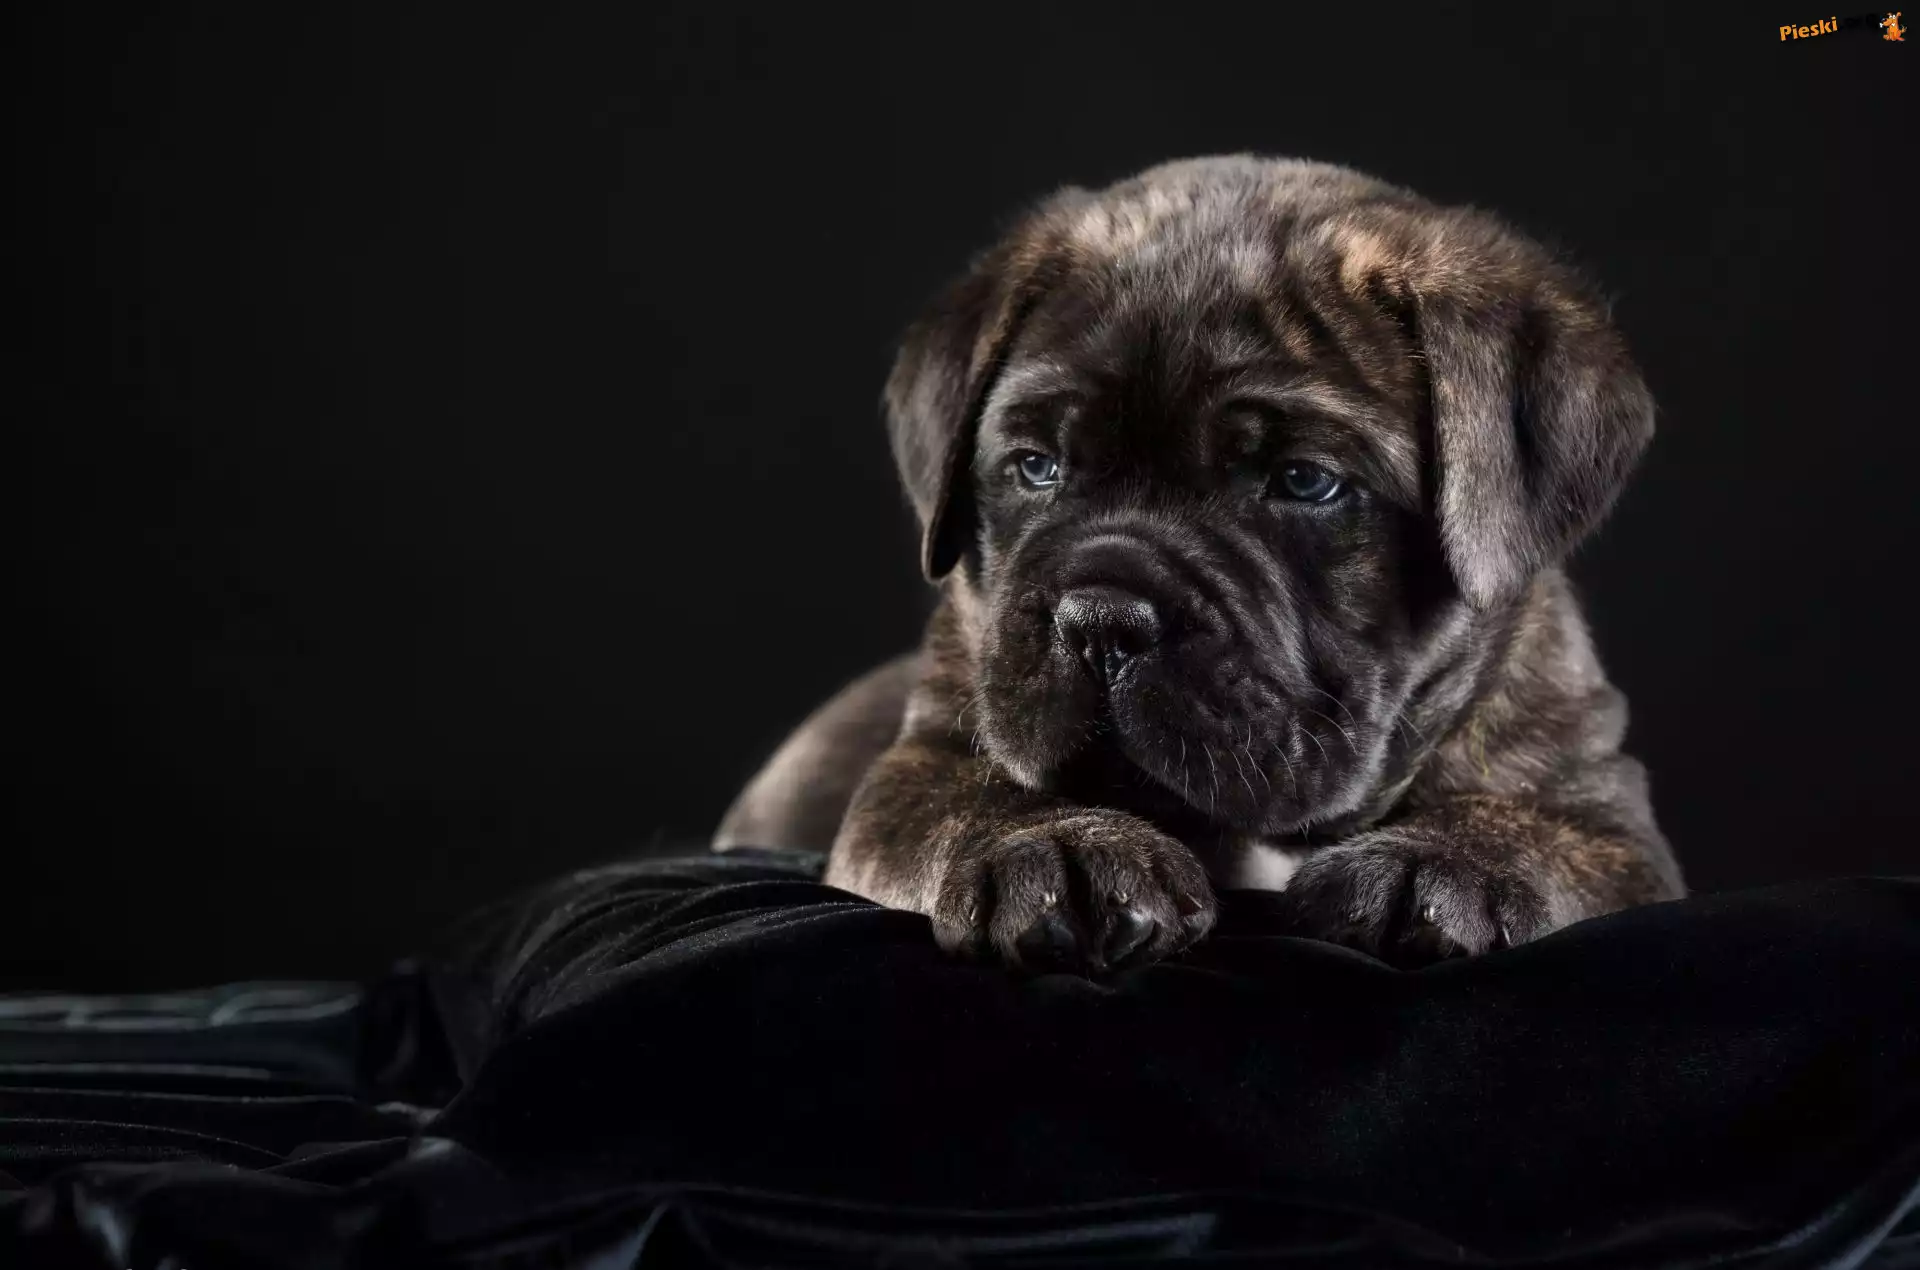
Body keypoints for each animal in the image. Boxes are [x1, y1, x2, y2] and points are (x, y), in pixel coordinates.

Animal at [715, 155, 1684, 973]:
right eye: (1036, 466)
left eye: (1304, 482)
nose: (1101, 624)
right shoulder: (922, 760)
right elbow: (965, 799)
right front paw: (1060, 847)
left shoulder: (1607, 815)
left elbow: (1541, 833)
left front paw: (1448, 862)